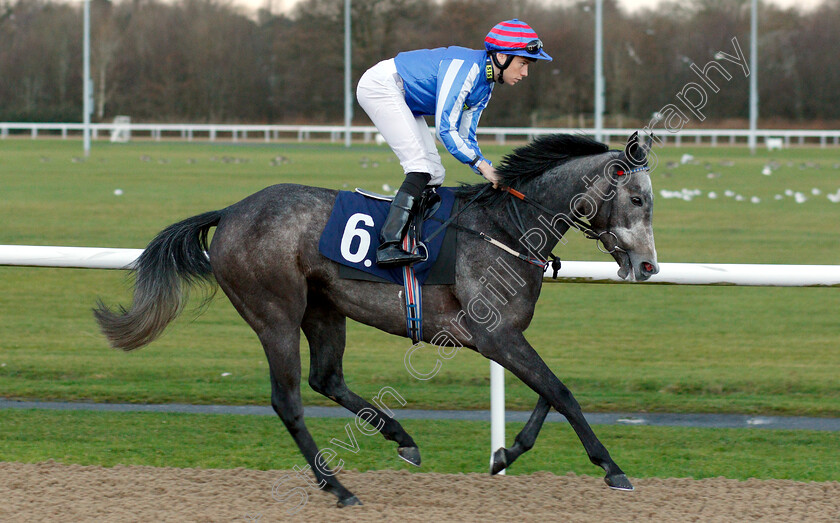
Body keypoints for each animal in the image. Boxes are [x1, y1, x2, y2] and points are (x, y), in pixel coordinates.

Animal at [92, 131, 656, 508]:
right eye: (636, 198)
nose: (648, 266)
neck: (506, 228)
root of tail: (230, 212)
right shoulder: (494, 335)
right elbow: (561, 392)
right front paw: (613, 469)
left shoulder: (504, 337)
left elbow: (549, 392)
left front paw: (506, 454)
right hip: (275, 314)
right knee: (288, 400)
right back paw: (338, 487)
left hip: (324, 309)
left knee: (327, 378)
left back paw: (402, 439)